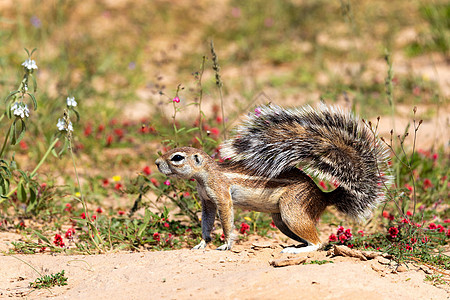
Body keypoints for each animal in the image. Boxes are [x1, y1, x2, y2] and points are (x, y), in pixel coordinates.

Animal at [156, 103, 392, 253]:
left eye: (177, 157)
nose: (157, 163)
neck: (206, 175)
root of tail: (323, 195)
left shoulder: (222, 196)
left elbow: (226, 221)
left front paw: (226, 244)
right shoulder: (207, 202)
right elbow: (206, 223)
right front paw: (202, 244)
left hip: (292, 210)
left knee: (319, 242)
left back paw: (297, 251)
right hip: (281, 220)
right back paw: (295, 245)